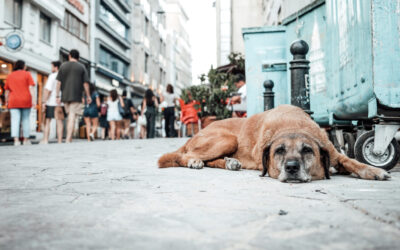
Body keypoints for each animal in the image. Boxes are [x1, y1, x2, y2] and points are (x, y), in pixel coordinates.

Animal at [158, 104, 390, 183]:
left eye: (307, 150)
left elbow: (353, 162)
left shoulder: (335, 154)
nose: (292, 168)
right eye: (279, 151)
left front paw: (373, 170)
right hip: (227, 139)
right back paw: (194, 161)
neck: (292, 126)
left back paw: (230, 163)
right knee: (184, 156)